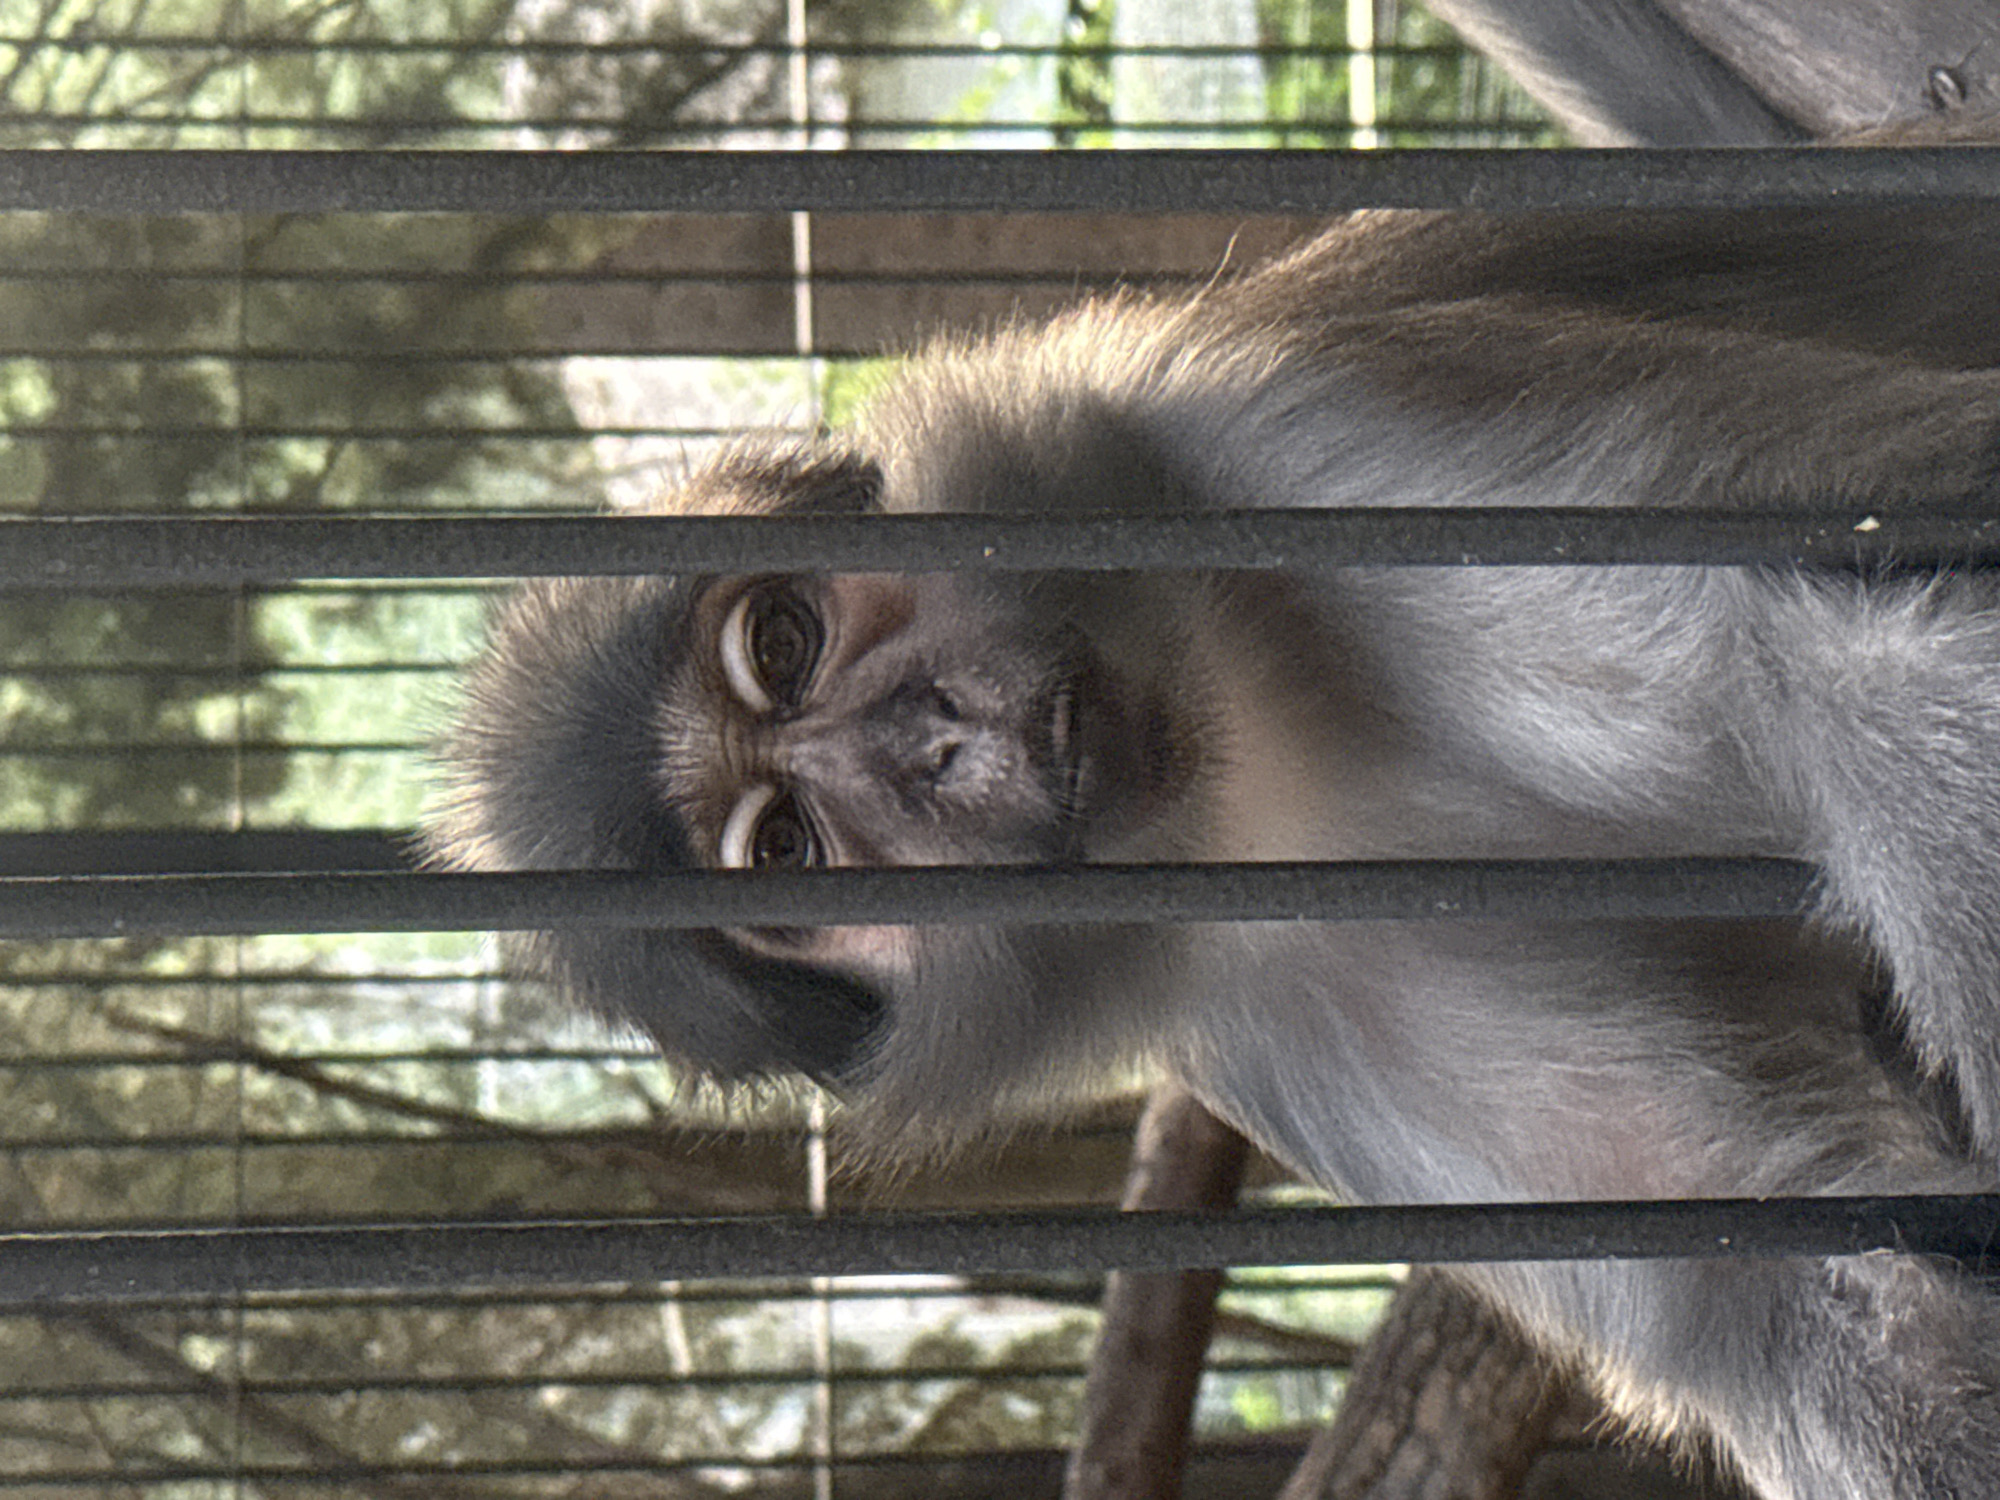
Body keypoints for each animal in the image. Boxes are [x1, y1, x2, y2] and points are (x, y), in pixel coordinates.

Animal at [427, 133, 2000, 1497]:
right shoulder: (1269, 1001)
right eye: (786, 853)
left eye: (782, 639)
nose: (930, 736)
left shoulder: (1253, 426)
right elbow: (1804, 1285)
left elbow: (1855, 572)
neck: (1248, 749)